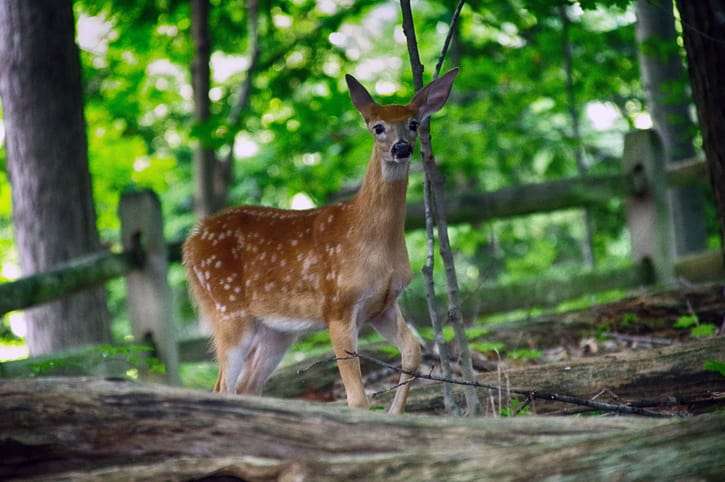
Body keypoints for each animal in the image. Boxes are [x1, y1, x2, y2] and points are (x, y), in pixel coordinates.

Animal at [185, 68, 458, 414]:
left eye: (413, 123)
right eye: (377, 127)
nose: (401, 148)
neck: (371, 240)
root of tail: (190, 242)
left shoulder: (383, 305)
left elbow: (412, 353)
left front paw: (395, 415)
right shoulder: (337, 305)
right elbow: (357, 398)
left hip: (277, 331)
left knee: (247, 386)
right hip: (228, 309)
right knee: (222, 386)